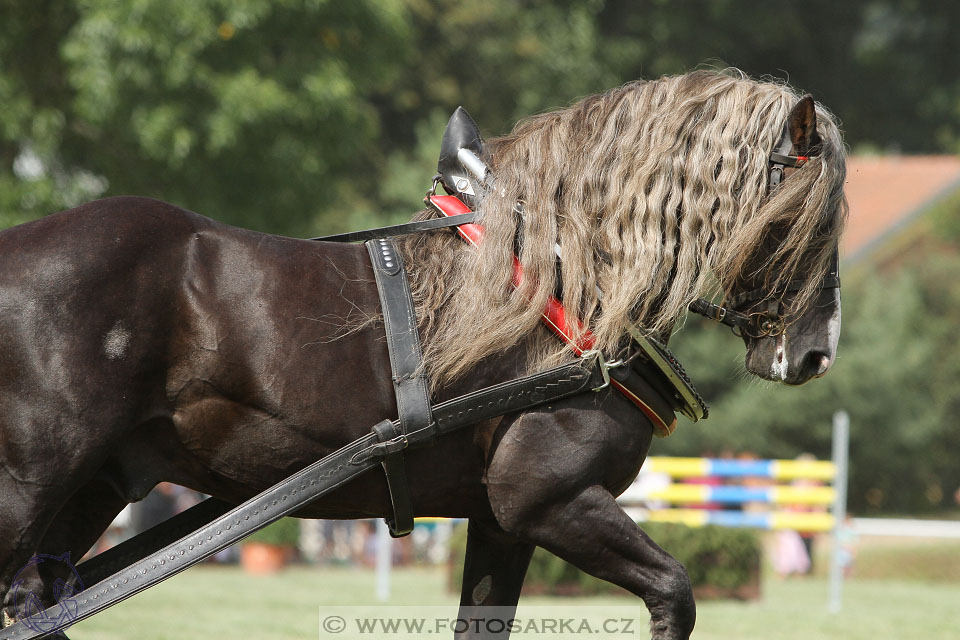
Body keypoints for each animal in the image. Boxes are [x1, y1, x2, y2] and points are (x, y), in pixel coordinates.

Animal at [0, 72, 844, 636]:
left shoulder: (505, 521)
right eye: (814, 215)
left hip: (92, 489)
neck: (558, 285)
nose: (814, 355)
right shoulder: (551, 498)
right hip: (29, 489)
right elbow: (674, 591)